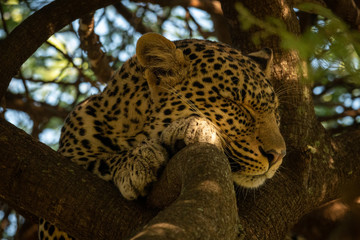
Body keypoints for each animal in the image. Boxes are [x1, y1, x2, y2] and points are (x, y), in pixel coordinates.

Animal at [38, 32, 286, 240]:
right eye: (236, 105)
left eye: (275, 112)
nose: (278, 155)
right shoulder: (54, 218)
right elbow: (93, 161)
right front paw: (137, 161)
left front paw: (193, 128)